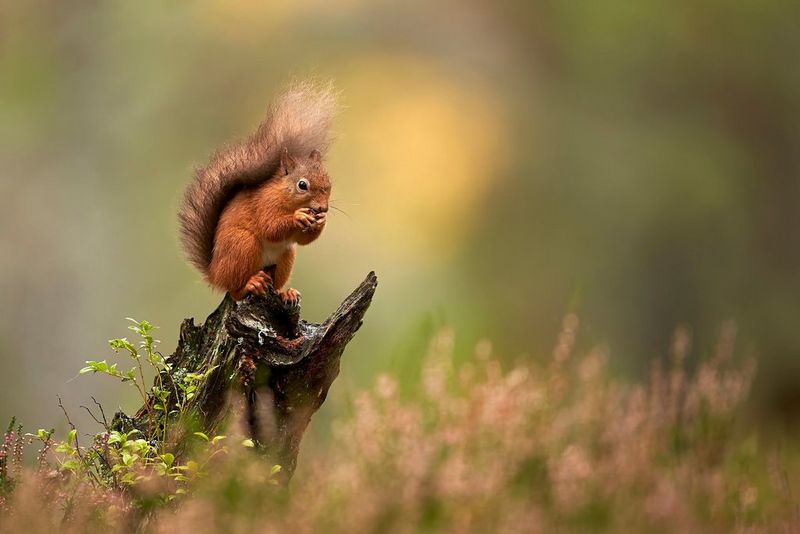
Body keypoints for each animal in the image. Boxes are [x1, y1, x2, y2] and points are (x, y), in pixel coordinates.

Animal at [178, 81, 338, 303]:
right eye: (302, 185)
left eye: (329, 183)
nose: (323, 208)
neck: (283, 195)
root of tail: (214, 273)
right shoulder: (264, 203)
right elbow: (270, 226)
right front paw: (298, 216)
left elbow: (303, 240)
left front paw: (320, 222)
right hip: (242, 245)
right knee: (234, 290)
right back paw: (251, 284)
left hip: (286, 256)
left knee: (275, 282)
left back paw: (285, 293)